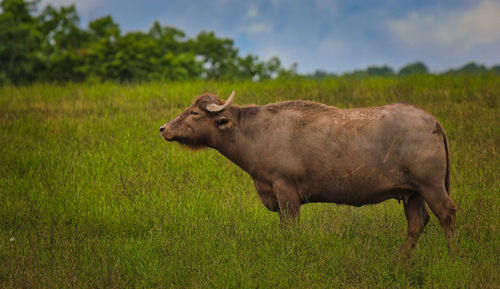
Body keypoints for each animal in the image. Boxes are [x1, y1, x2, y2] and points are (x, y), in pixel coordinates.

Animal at [159, 91, 458, 251]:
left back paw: (451, 255)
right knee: (417, 222)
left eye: (195, 112)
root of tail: (430, 120)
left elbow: (292, 228)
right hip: (412, 192)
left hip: (431, 186)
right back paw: (400, 260)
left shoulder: (285, 189)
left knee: (447, 214)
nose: (163, 128)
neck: (254, 133)